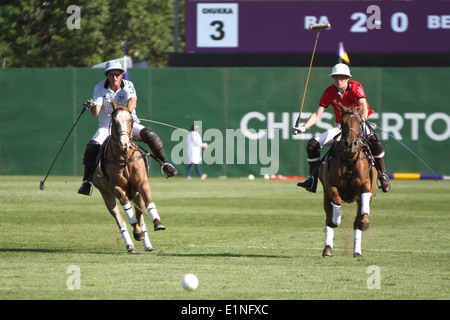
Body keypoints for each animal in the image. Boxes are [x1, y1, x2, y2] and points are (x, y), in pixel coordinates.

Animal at [92, 101, 165, 254]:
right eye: (114, 121)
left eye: (131, 120)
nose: (124, 144)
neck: (124, 157)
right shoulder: (116, 188)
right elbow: (128, 211)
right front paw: (137, 233)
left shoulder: (142, 183)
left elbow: (147, 204)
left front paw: (157, 223)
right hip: (106, 194)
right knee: (121, 220)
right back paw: (130, 245)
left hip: (136, 195)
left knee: (140, 215)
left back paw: (148, 245)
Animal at [318, 105, 378, 258]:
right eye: (343, 122)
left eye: (360, 122)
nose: (350, 144)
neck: (349, 159)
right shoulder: (330, 185)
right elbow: (336, 202)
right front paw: (336, 220)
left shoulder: (366, 186)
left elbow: (365, 202)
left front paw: (365, 222)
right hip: (325, 196)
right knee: (328, 217)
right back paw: (327, 248)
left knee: (357, 222)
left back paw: (357, 251)